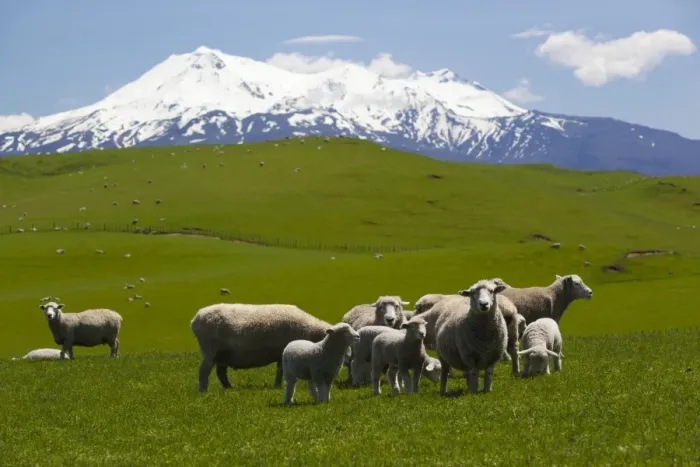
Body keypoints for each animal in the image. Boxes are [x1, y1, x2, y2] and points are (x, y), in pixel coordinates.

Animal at [190, 303, 332, 392]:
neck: (310, 331)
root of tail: (196, 318)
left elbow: (280, 370)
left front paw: (277, 385)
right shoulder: (283, 351)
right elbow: (281, 371)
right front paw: (278, 386)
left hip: (223, 354)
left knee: (221, 373)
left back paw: (229, 388)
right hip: (210, 350)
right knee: (203, 371)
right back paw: (203, 391)